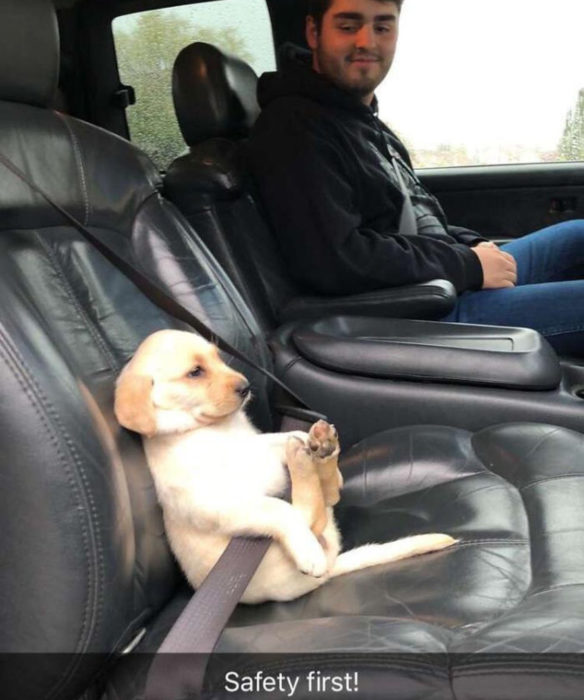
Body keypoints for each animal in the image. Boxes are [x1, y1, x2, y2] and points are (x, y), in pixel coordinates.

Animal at [115, 330, 456, 604]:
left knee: (327, 495)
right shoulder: (221, 503)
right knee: (310, 513)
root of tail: (332, 567)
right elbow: (281, 510)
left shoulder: (258, 447)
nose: (246, 386)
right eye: (195, 372)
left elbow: (281, 438)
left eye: (218, 358)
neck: (214, 429)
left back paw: (322, 452)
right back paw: (306, 471)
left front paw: (311, 442)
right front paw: (307, 549)